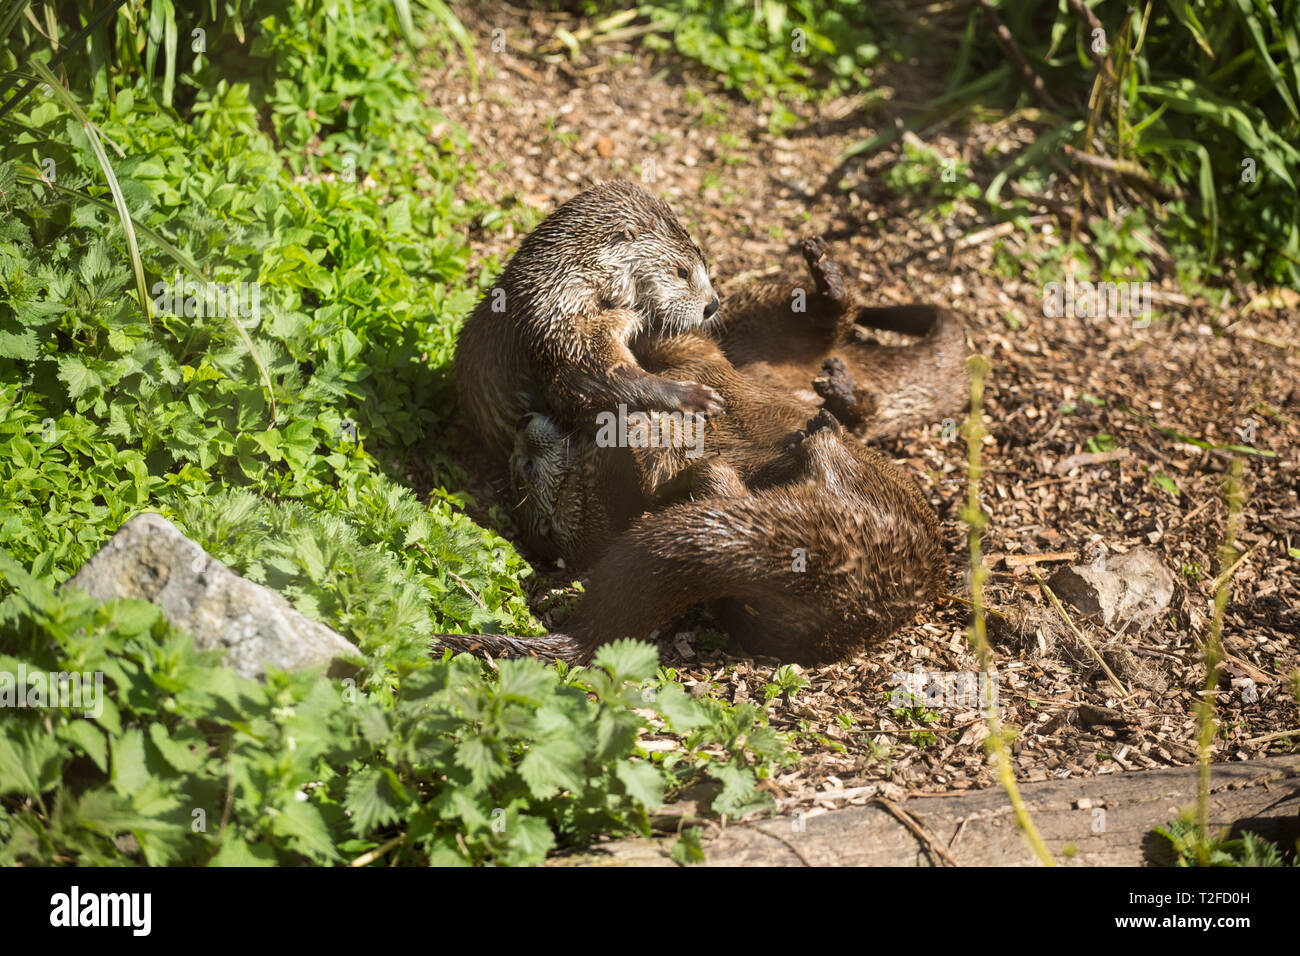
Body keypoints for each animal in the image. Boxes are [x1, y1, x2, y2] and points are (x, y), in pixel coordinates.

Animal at [454, 181, 725, 460]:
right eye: (682, 271)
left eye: (707, 265)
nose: (712, 305)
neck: (566, 281)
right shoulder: (560, 331)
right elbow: (604, 382)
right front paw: (692, 396)